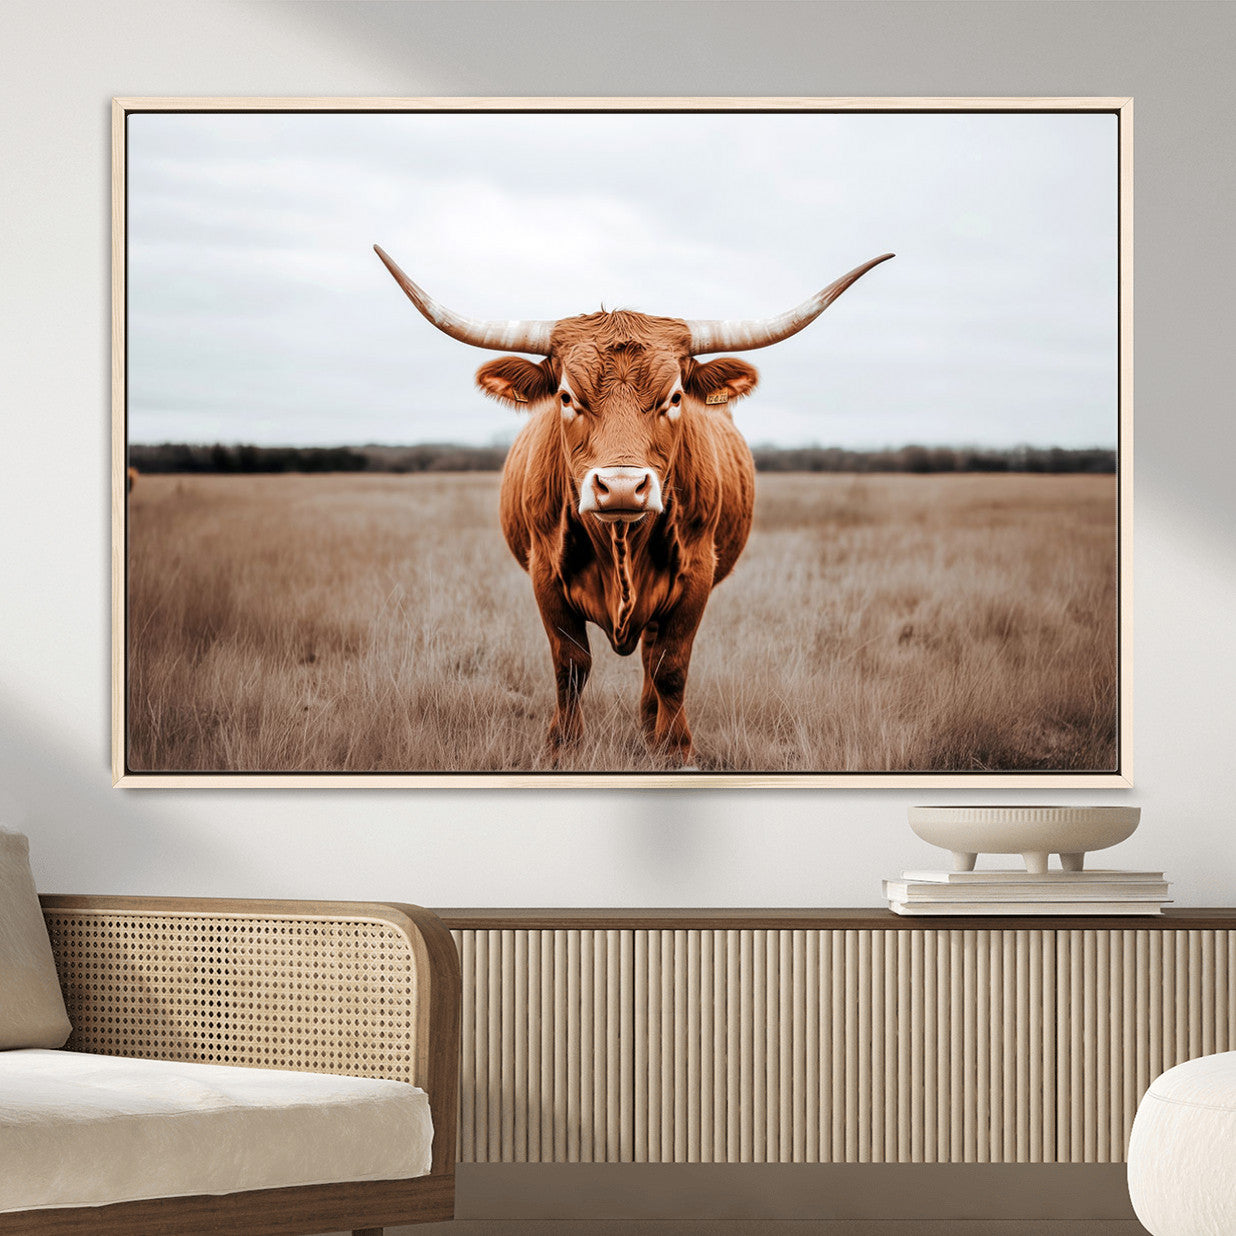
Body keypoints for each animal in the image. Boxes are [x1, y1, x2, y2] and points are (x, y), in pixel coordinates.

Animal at [375, 246, 893, 766]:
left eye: (675, 397)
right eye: (566, 396)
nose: (622, 488)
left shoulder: (697, 574)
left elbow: (670, 666)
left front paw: (676, 749)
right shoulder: (545, 573)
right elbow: (571, 666)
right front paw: (563, 749)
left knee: (651, 656)